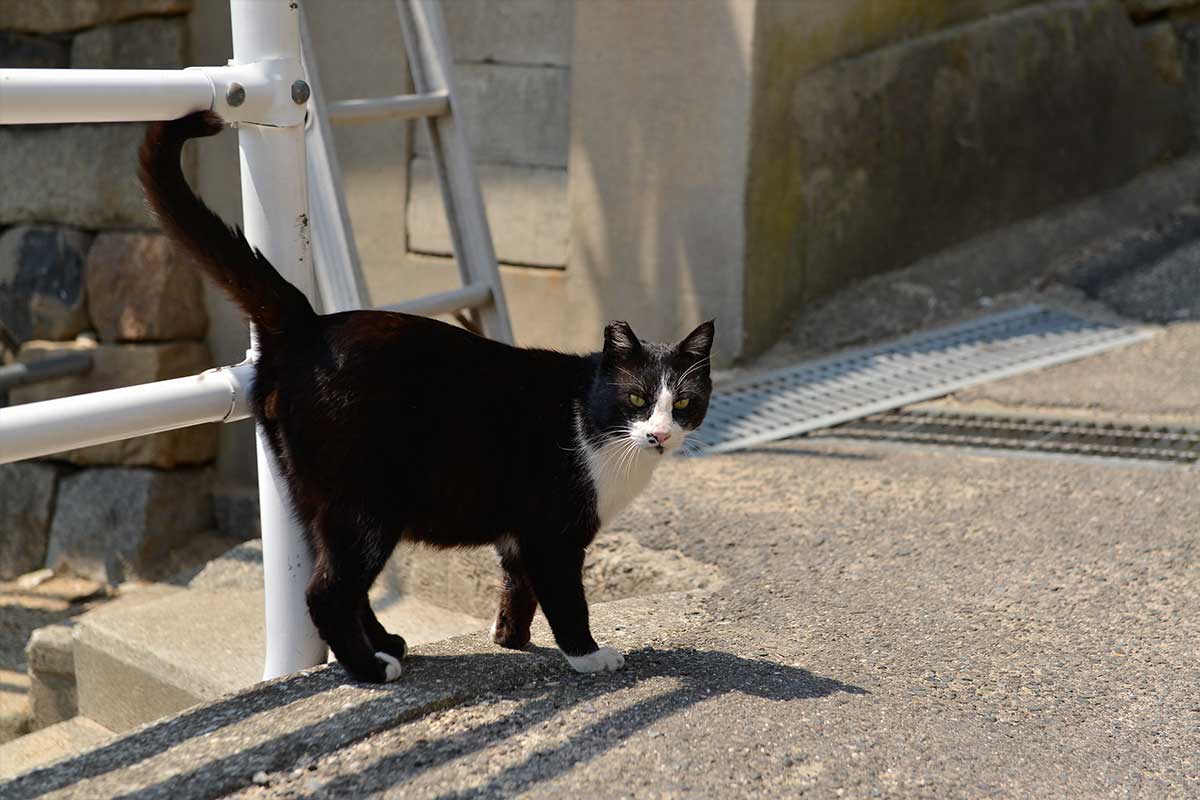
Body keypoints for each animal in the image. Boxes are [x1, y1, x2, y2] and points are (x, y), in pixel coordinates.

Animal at [140, 112, 710, 681]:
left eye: (683, 403)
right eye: (636, 400)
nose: (660, 434)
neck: (591, 425)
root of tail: (310, 323)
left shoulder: (520, 535)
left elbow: (517, 585)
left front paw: (510, 638)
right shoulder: (553, 533)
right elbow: (566, 598)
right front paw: (588, 655)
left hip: (311, 496)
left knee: (338, 579)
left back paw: (385, 644)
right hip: (366, 505)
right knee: (326, 590)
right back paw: (370, 669)